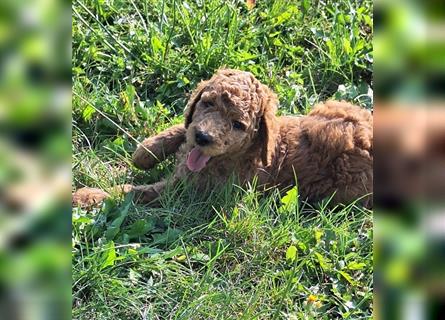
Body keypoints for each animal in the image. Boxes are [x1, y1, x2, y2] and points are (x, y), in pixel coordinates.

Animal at [73, 68, 372, 206]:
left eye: (238, 125)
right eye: (207, 103)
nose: (204, 137)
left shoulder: (187, 190)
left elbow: (135, 193)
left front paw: (88, 195)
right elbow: (182, 128)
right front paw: (144, 153)